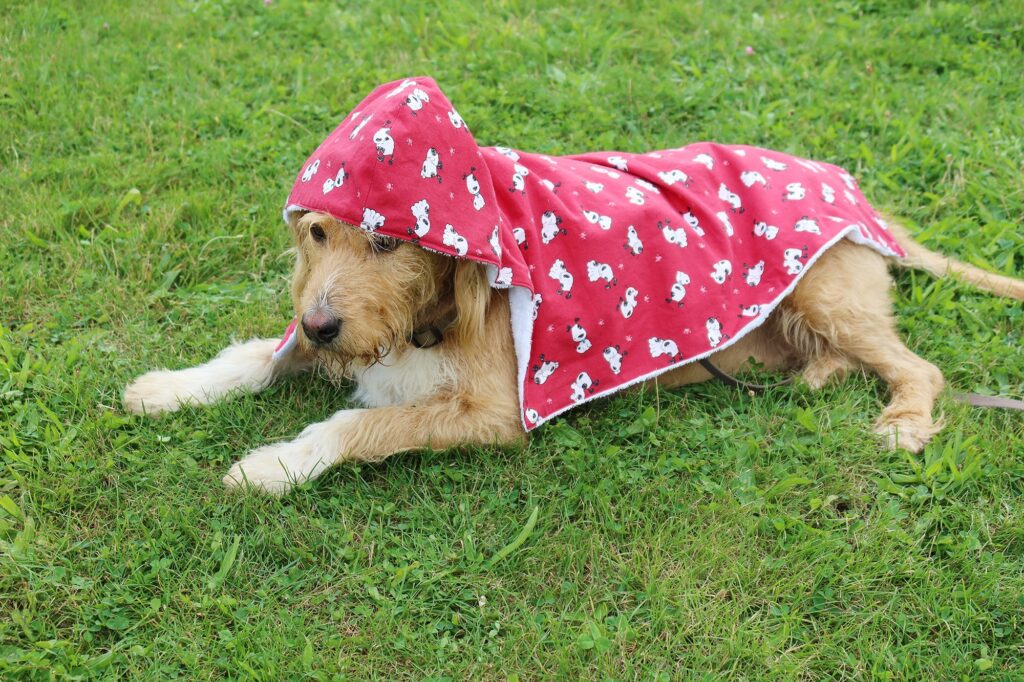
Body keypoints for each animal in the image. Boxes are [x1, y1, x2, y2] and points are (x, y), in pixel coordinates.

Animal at [121, 204, 1024, 491]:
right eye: (316, 232)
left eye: (386, 239)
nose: (316, 326)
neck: (431, 314)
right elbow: (251, 358)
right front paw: (169, 388)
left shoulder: (492, 413)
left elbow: (358, 425)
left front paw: (273, 465)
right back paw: (817, 377)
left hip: (824, 292)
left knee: (918, 366)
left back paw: (904, 421)